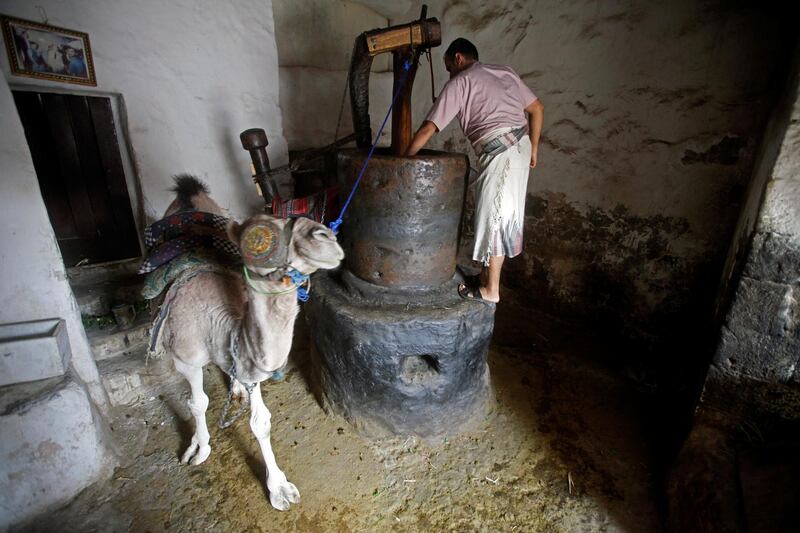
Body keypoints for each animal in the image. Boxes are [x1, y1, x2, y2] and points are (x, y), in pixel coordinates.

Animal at [154, 177, 344, 510]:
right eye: (258, 239)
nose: (326, 236)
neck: (217, 321)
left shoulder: (250, 363)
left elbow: (261, 421)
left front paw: (279, 489)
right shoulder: (186, 359)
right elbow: (197, 402)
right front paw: (199, 449)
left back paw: (237, 389)